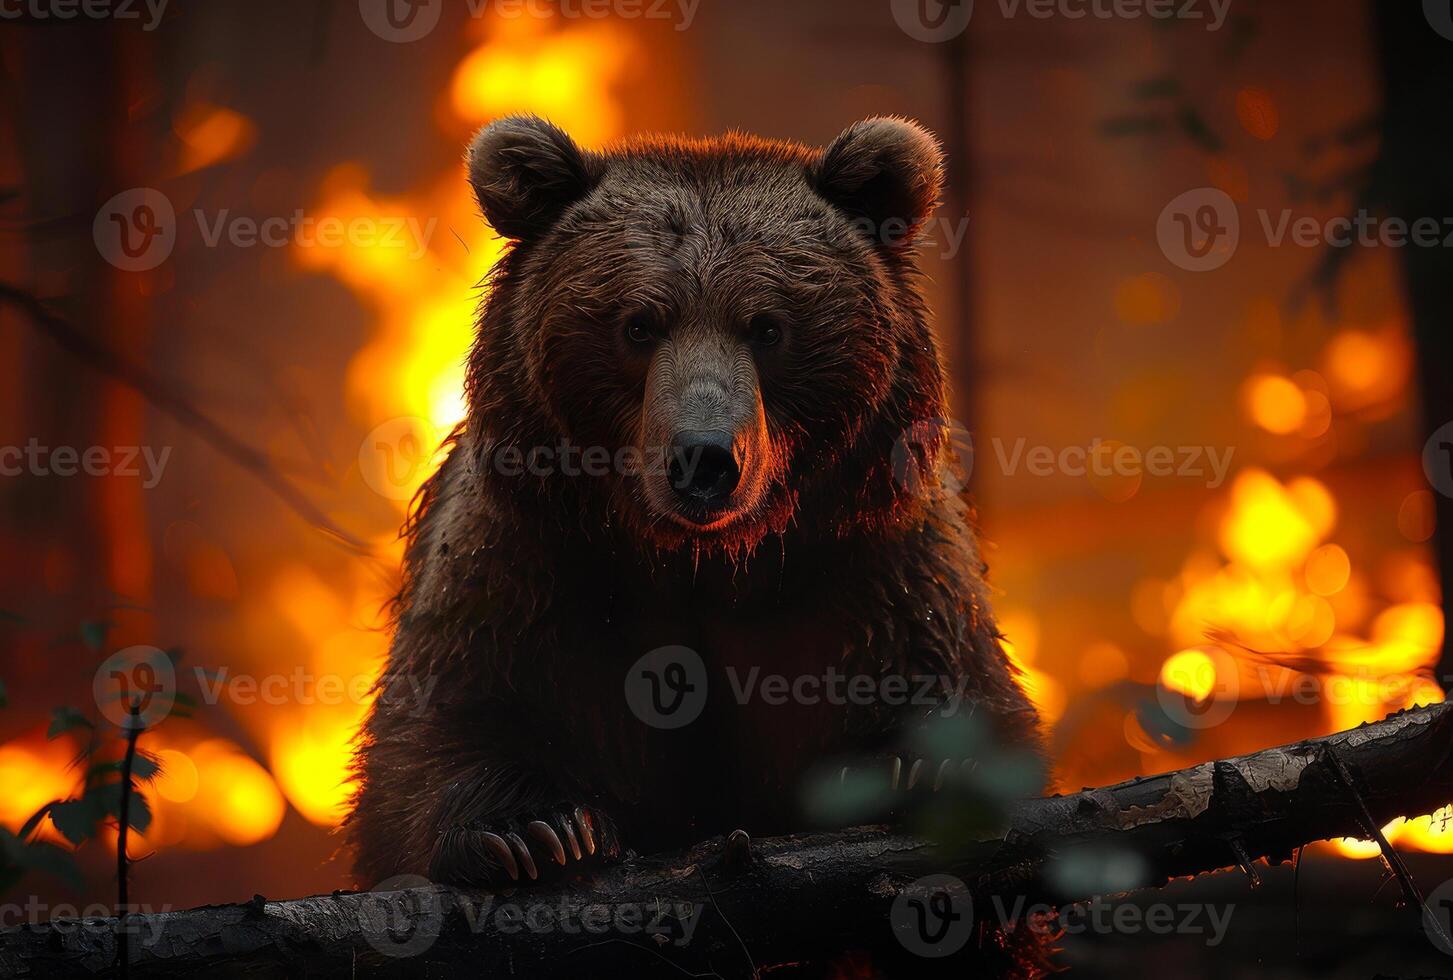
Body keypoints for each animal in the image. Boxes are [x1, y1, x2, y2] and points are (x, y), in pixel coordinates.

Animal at [347, 114, 1051, 959]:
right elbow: (437, 725)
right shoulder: (527, 559)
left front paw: (923, 772)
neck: (703, 559)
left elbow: (961, 691)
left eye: (768, 325)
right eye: (638, 323)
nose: (704, 459)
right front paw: (537, 831)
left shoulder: (874, 566)